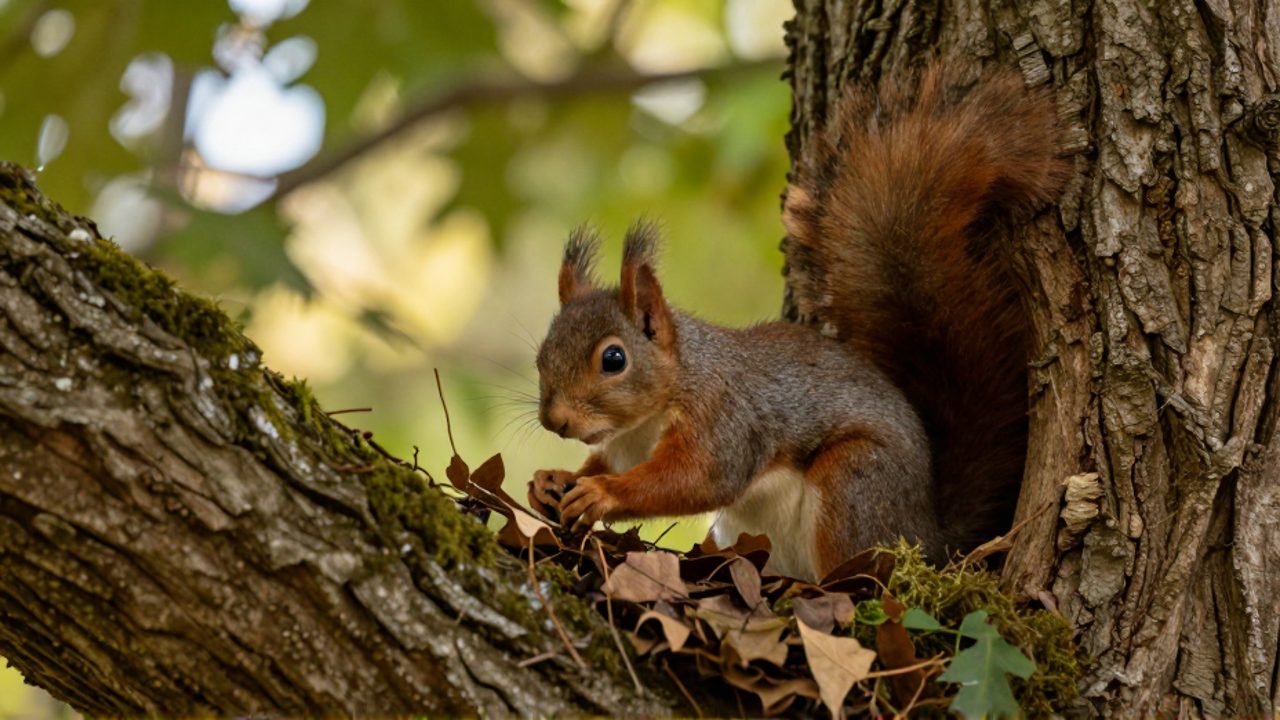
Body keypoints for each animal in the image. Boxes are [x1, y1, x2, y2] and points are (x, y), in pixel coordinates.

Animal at [526, 64, 1065, 581]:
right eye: (541, 356)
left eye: (614, 358)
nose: (555, 421)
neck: (651, 413)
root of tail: (928, 538)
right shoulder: (623, 447)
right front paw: (549, 481)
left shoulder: (724, 421)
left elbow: (695, 480)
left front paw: (602, 493)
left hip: (854, 483)